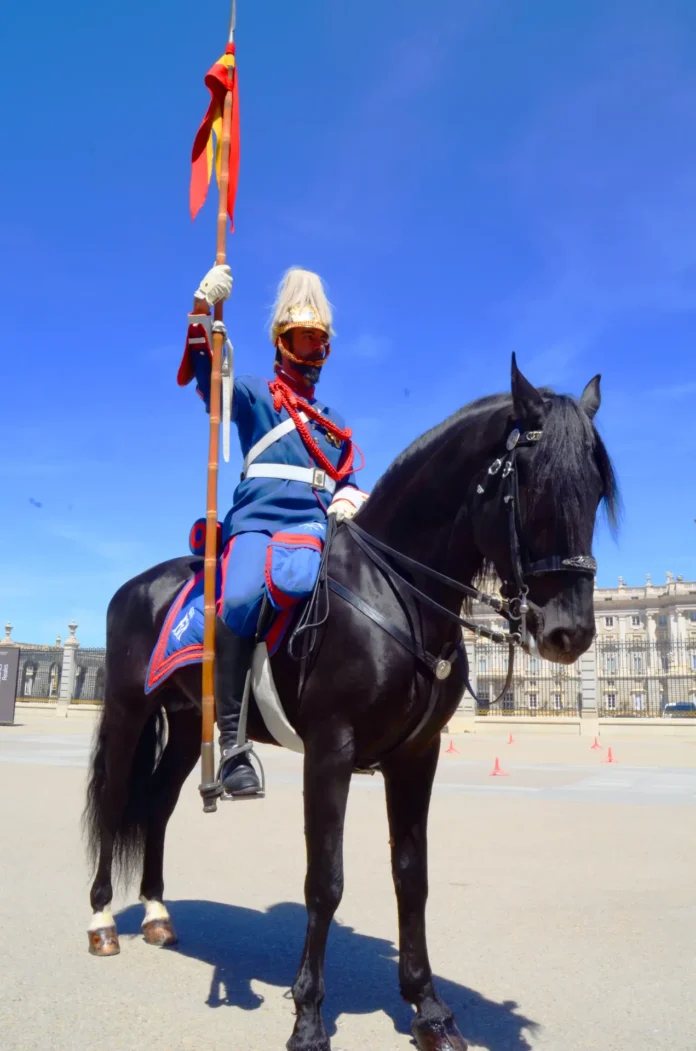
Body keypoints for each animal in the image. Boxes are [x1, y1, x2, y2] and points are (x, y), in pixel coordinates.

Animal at [84, 361, 618, 1051]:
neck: (398, 593)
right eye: (533, 483)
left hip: (181, 728)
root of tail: (136, 584)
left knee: (156, 808)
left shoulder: (417, 757)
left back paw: (155, 912)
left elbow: (411, 877)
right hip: (129, 714)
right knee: (117, 800)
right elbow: (325, 881)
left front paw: (429, 1008)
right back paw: (103, 918)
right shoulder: (329, 752)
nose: (569, 632)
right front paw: (309, 1016)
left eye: (596, 487)